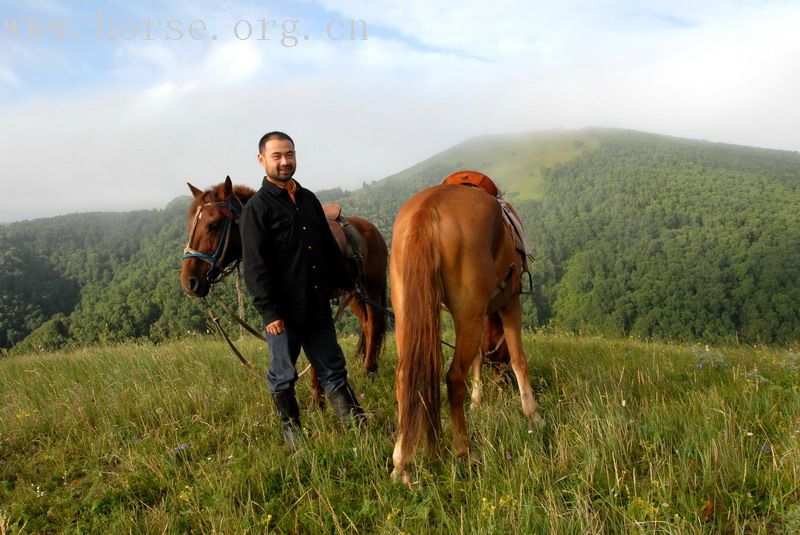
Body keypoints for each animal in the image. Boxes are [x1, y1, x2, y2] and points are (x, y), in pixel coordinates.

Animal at [179, 179, 390, 402]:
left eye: (213, 225)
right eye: (191, 226)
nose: (189, 282)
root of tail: (371, 228)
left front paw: (318, 400)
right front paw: (318, 398)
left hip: (372, 289)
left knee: (374, 325)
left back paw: (369, 372)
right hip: (354, 295)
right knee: (366, 325)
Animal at [390, 178, 544, 484]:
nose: (500, 381)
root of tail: (426, 209)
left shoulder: (476, 317)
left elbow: (477, 358)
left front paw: (477, 401)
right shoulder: (510, 303)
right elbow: (519, 360)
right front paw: (532, 414)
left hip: (408, 315)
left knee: (406, 380)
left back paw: (404, 463)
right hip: (468, 312)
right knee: (453, 378)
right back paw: (464, 452)